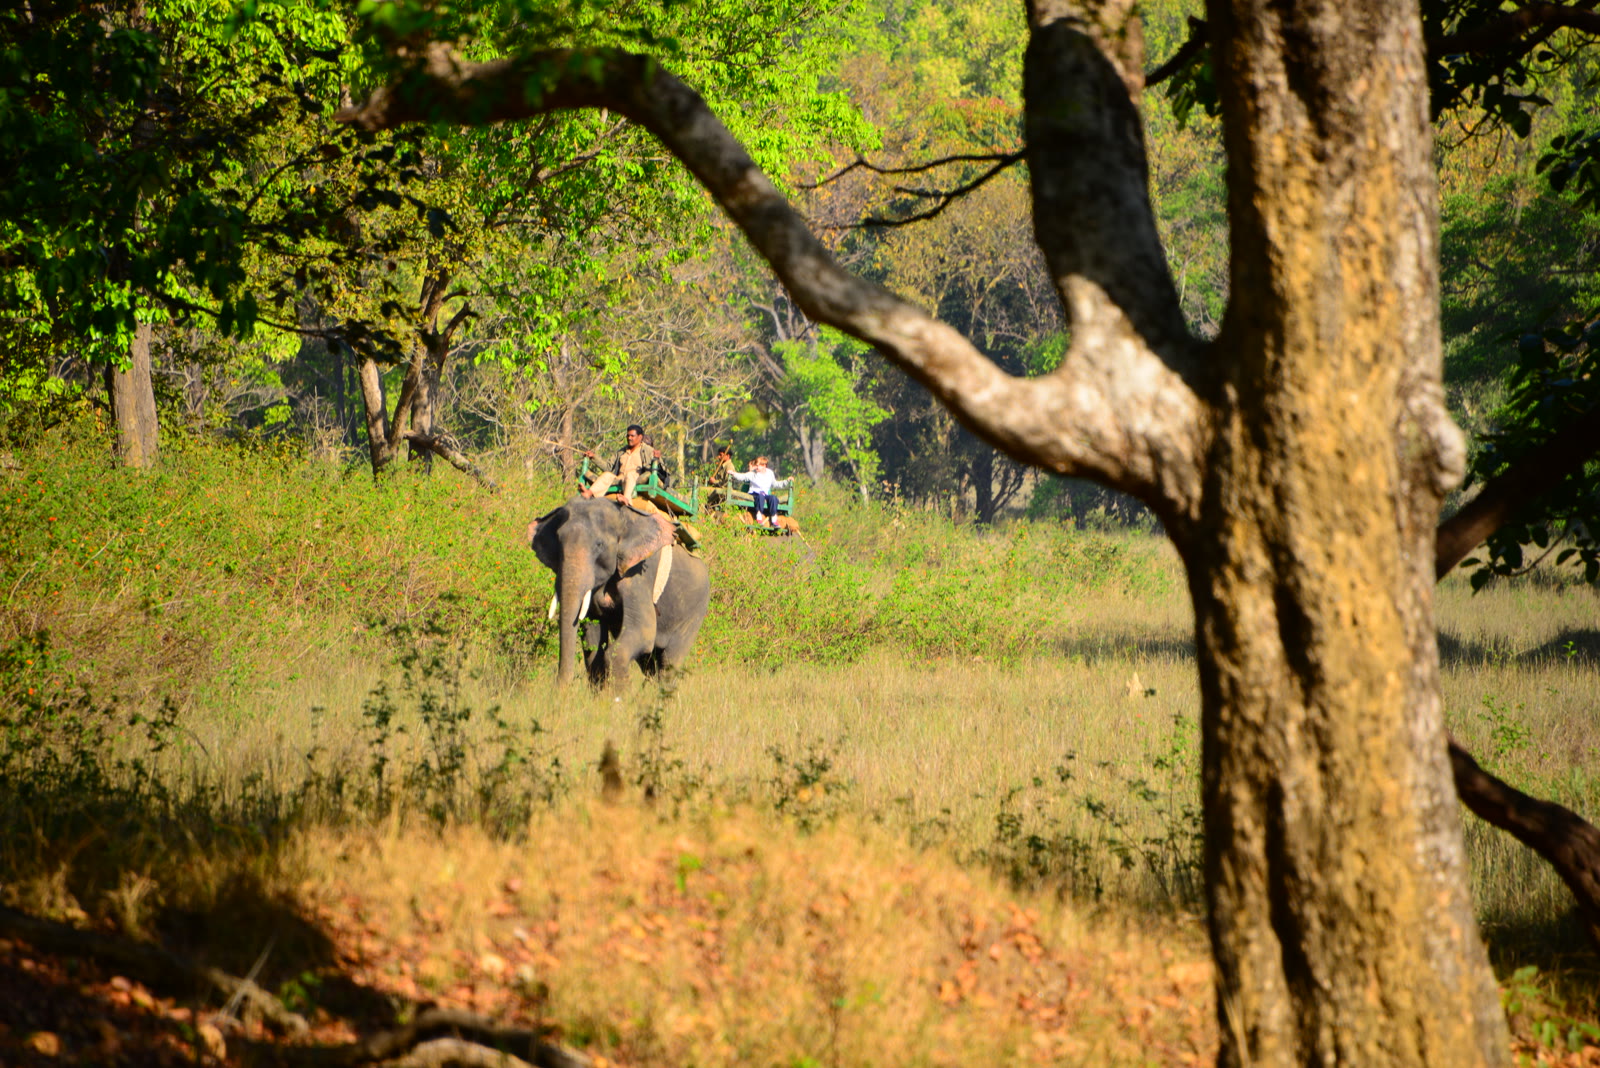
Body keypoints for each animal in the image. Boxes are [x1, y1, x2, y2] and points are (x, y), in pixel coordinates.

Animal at [527, 495, 710, 687]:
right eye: (558, 541)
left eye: (599, 544)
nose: (561, 686)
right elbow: (593, 643)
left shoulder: (640, 572)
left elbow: (643, 631)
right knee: (648, 662)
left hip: (695, 612)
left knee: (669, 661)